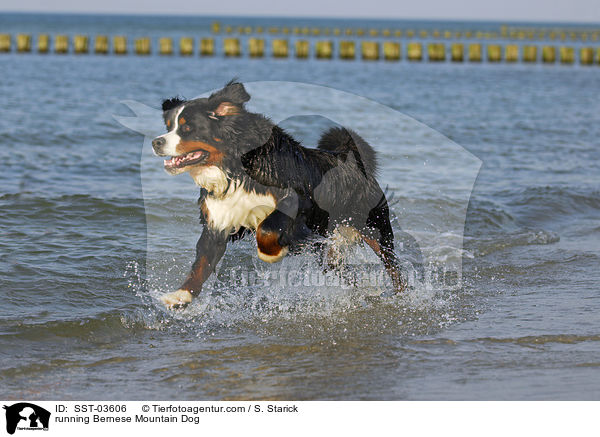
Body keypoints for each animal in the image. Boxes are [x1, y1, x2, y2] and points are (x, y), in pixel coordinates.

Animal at [150, 80, 406, 308]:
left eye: (187, 128)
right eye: (169, 126)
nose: (156, 142)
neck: (235, 168)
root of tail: (351, 159)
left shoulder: (296, 200)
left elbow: (267, 228)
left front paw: (271, 253)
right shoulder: (218, 219)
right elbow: (201, 264)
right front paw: (181, 295)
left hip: (375, 228)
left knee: (394, 268)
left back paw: (402, 295)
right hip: (328, 251)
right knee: (346, 274)